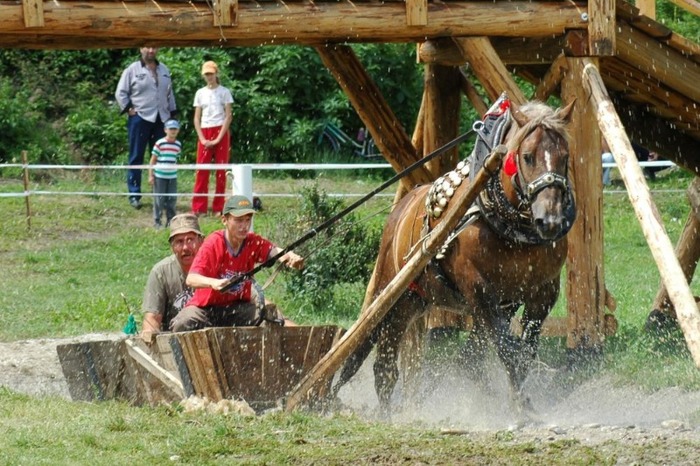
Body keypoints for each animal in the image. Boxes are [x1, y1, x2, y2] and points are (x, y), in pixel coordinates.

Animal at [334, 97, 576, 416]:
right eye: (527, 156)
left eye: (565, 157)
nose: (550, 221)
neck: (510, 229)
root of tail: (400, 210)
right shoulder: (478, 288)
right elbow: (505, 347)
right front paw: (521, 406)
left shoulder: (543, 292)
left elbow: (522, 351)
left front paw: (517, 399)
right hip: (392, 298)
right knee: (383, 364)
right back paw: (385, 413)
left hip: (417, 300)